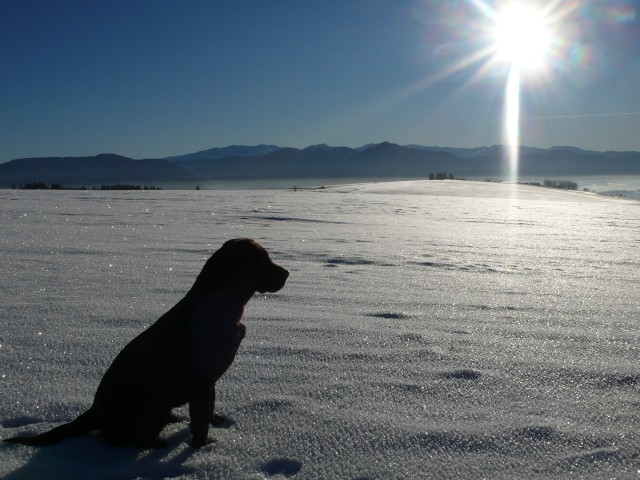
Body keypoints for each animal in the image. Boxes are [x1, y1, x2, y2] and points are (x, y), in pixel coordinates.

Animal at [4, 238, 288, 448]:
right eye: (261, 261)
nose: (287, 273)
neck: (225, 303)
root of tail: (94, 411)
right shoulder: (200, 381)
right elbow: (199, 425)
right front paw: (202, 449)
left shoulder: (210, 380)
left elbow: (209, 408)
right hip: (149, 410)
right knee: (117, 439)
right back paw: (157, 443)